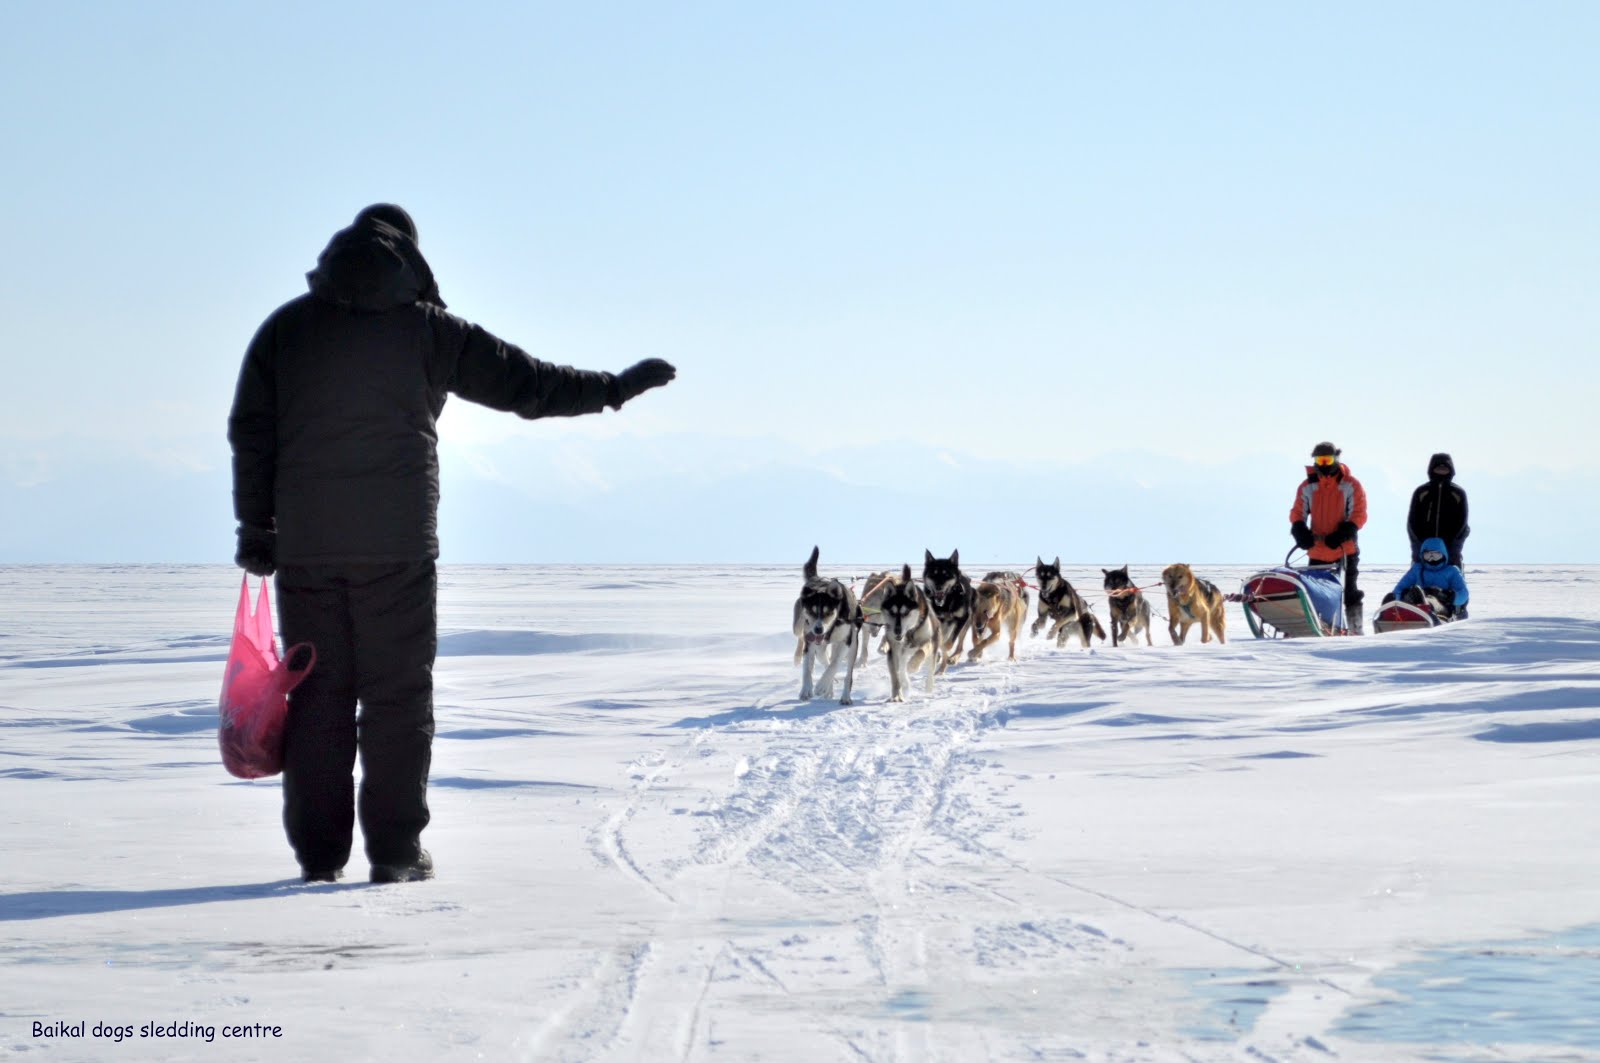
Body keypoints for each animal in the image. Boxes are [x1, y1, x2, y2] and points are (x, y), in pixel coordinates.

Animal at [790, 547, 864, 704]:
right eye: (811, 611)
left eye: (828, 612)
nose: (818, 629)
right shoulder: (812, 641)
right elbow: (807, 669)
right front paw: (806, 689)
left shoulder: (846, 641)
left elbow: (834, 664)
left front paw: (821, 686)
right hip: (803, 631)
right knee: (810, 648)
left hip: (852, 645)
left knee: (846, 673)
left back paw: (844, 696)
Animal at [883, 560, 940, 701]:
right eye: (892, 612)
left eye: (905, 612)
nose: (897, 631)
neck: (909, 633)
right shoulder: (893, 650)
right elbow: (895, 675)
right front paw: (896, 695)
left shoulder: (927, 641)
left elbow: (921, 652)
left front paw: (913, 666)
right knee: (902, 667)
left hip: (933, 647)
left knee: (930, 668)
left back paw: (928, 688)